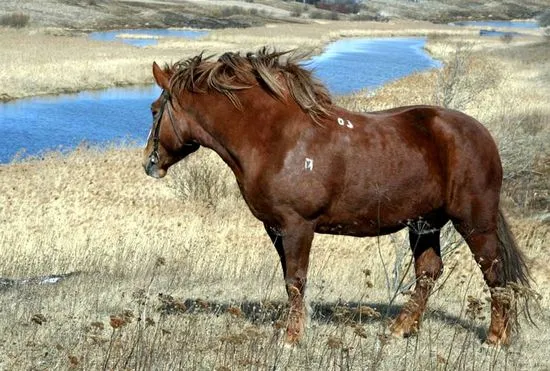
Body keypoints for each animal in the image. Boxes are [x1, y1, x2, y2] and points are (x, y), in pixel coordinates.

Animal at [142, 48, 532, 346]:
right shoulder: (276, 228)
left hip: (474, 221)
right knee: (428, 272)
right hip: (424, 223)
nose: (149, 163)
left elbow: (296, 280)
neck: (278, 138)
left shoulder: (297, 225)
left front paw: (292, 339)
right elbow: (290, 280)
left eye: (153, 109)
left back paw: (495, 338)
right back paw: (400, 330)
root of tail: (482, 135)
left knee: (494, 272)